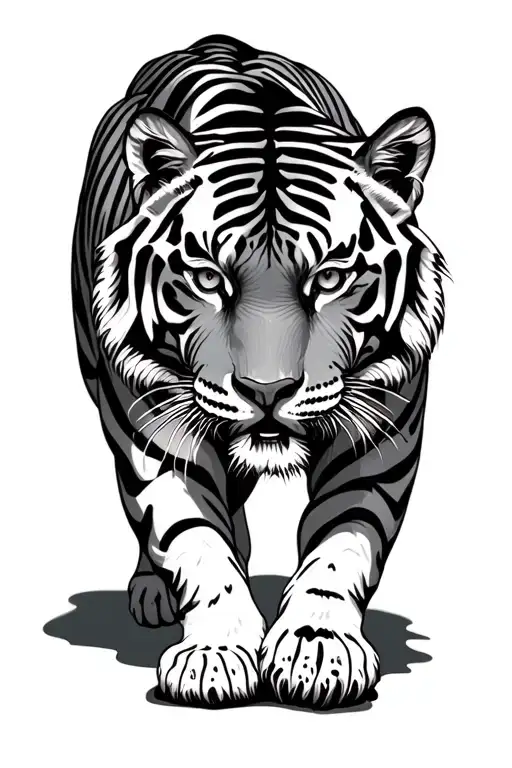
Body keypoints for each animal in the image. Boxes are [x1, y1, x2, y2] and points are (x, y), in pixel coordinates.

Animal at [72, 34, 447, 709]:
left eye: (330, 276)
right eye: (207, 277)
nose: (266, 390)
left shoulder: (380, 436)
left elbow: (340, 544)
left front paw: (315, 647)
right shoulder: (154, 429)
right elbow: (194, 537)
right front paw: (214, 653)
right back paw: (153, 590)